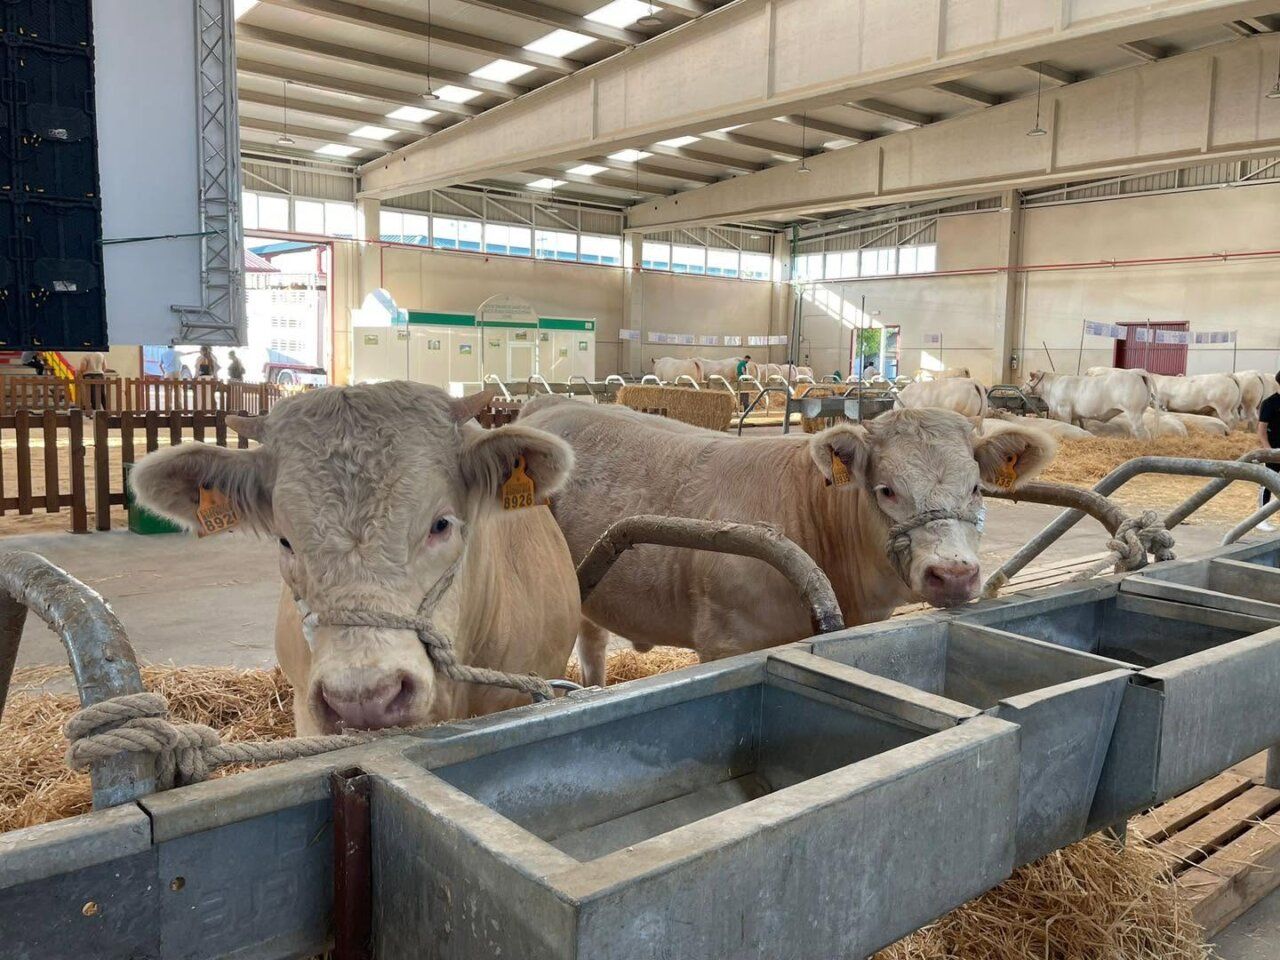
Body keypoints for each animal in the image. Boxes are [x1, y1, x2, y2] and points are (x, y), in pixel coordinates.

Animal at [519, 398, 1056, 686]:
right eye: (886, 489)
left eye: (975, 487)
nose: (955, 574)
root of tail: (552, 405)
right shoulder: (726, 642)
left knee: (592, 640)